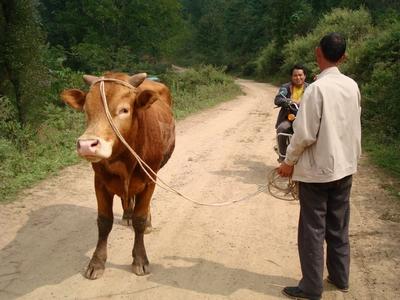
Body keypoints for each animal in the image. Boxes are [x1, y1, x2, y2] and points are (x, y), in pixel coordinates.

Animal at [60, 72, 175, 278]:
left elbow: (140, 218)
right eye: (86, 110)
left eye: (124, 110)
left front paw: (140, 259)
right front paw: (96, 262)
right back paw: (127, 214)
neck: (124, 160)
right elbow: (104, 222)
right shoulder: (100, 182)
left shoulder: (149, 180)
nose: (86, 145)